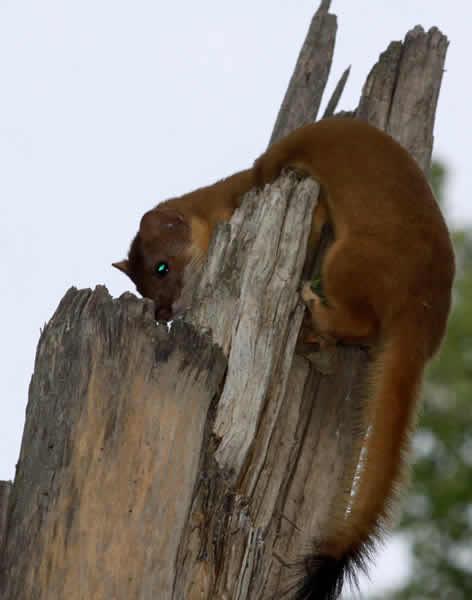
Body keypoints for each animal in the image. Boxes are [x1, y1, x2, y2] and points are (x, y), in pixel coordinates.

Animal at [113, 118, 454, 600]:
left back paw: (312, 302)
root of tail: (425, 316)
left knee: (361, 320)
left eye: (162, 267)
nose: (162, 312)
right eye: (141, 288)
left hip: (348, 255)